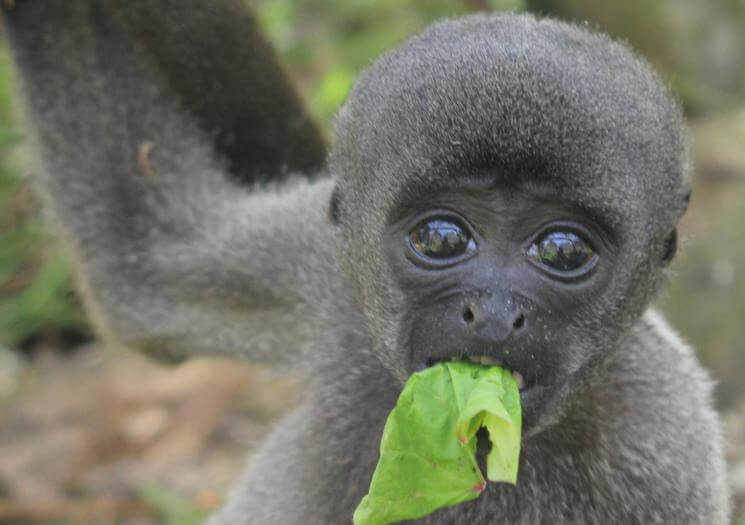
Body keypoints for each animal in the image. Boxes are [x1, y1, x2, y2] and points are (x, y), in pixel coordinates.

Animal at [0, 2, 728, 520]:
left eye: (564, 250)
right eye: (441, 237)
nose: (495, 311)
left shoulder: (666, 447)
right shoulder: (321, 265)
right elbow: (141, 263)